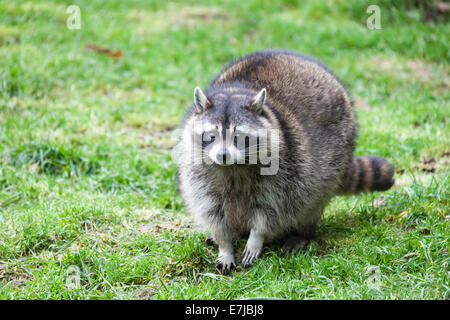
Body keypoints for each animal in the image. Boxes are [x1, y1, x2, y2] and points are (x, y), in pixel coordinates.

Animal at [174, 48, 392, 274]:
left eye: (239, 137)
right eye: (211, 136)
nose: (222, 155)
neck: (233, 166)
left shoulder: (286, 166)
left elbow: (273, 208)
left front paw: (256, 238)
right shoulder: (199, 172)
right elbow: (211, 209)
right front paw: (225, 245)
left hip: (335, 155)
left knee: (311, 199)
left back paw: (301, 234)